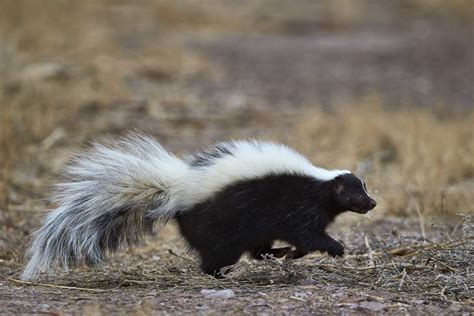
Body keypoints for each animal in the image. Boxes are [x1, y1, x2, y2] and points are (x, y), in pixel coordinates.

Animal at [23, 133, 378, 278]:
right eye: (356, 194)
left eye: (364, 189)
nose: (373, 202)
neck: (320, 183)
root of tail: (177, 188)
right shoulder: (298, 205)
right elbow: (307, 234)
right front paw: (336, 248)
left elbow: (304, 238)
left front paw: (295, 253)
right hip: (221, 223)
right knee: (218, 255)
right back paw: (221, 275)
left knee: (256, 248)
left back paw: (274, 254)